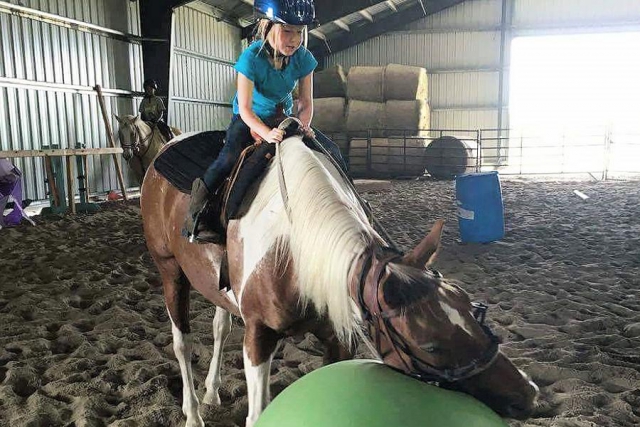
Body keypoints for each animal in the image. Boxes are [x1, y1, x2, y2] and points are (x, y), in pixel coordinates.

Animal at [141, 132, 540, 426]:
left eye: (471, 307)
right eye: (430, 346)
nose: (529, 393)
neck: (294, 249)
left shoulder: (336, 339)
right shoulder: (258, 335)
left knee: (220, 327)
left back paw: (212, 391)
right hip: (170, 271)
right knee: (182, 344)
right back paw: (193, 413)